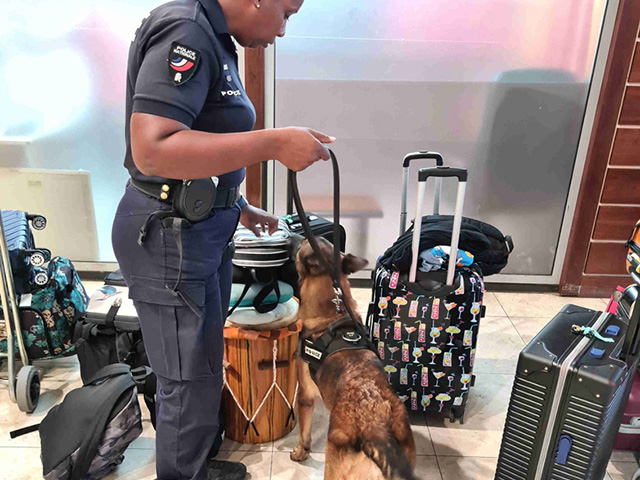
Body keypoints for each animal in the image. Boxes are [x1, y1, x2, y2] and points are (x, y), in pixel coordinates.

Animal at [292, 240, 418, 480]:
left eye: (303, 244)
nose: (297, 237)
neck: (333, 310)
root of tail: (377, 430)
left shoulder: (304, 397)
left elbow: (304, 433)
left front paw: (301, 452)